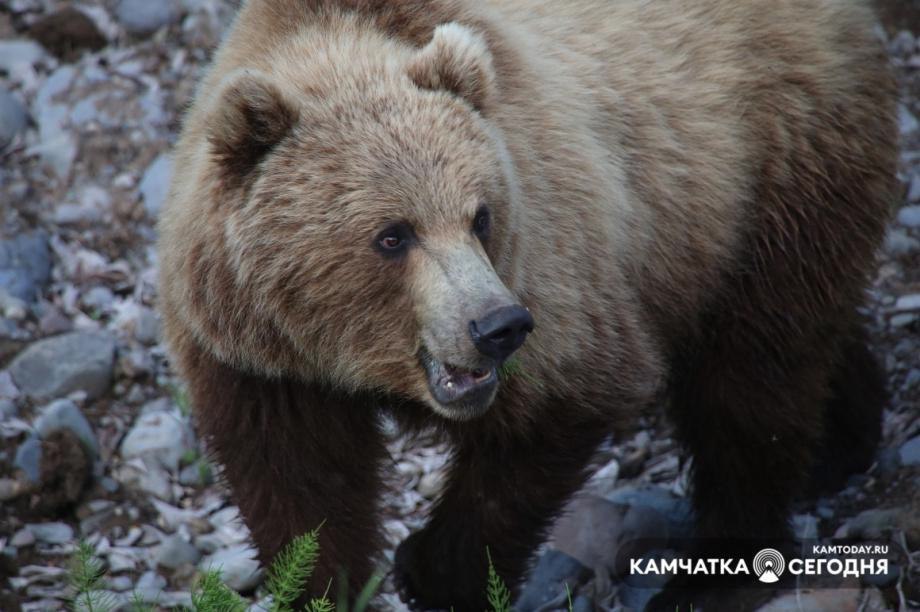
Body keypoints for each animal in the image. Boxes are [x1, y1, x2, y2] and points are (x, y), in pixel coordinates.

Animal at [155, 0, 896, 608]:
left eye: (480, 215)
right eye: (392, 234)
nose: (498, 326)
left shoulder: (555, 266)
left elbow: (561, 406)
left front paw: (434, 571)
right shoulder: (261, 361)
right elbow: (301, 485)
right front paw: (321, 583)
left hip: (770, 162)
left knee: (751, 375)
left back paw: (720, 568)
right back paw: (839, 445)